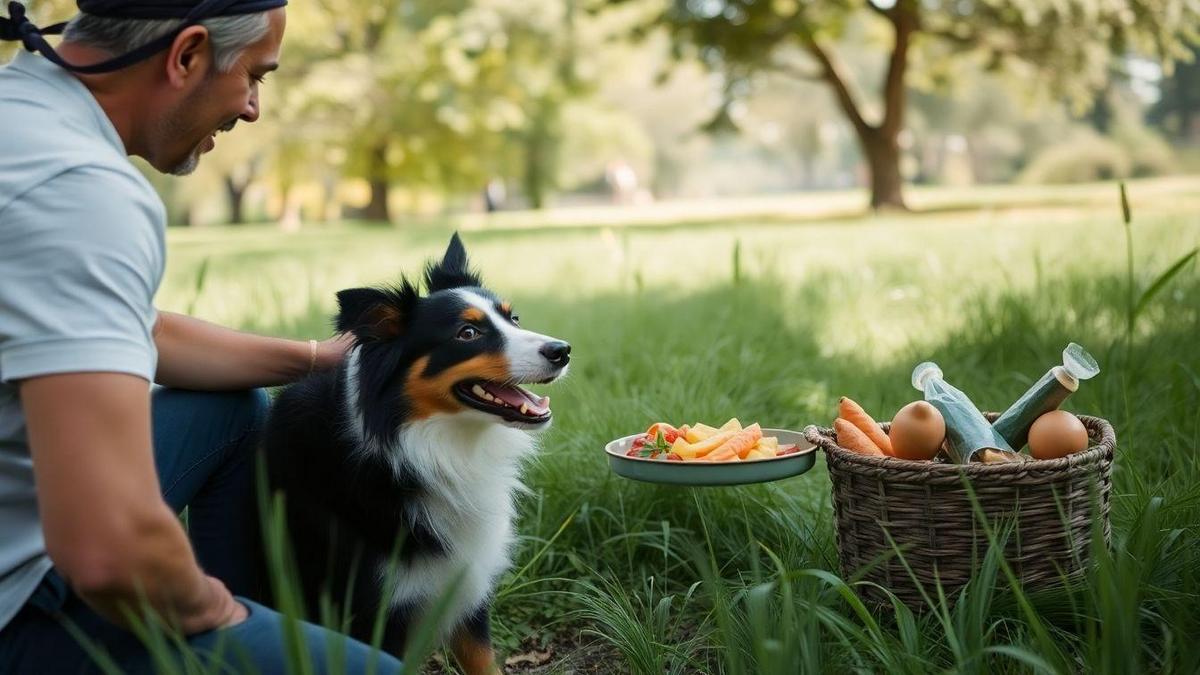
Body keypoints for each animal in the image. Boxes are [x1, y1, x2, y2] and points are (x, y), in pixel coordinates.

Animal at [261, 234, 566, 667]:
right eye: (467, 333)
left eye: (514, 318)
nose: (563, 351)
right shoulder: (374, 614)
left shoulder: (465, 589)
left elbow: (485, 663)